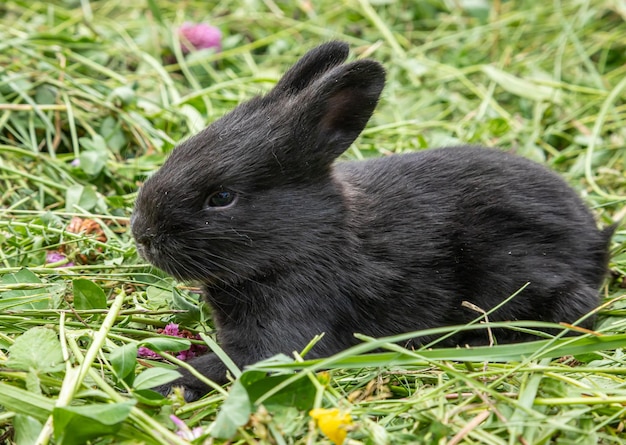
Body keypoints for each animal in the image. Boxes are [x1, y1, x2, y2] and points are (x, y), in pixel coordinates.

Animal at [129, 41, 612, 400]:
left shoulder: (288, 332)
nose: (142, 234)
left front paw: (164, 379)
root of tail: (595, 241)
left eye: (222, 197)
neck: (313, 239)